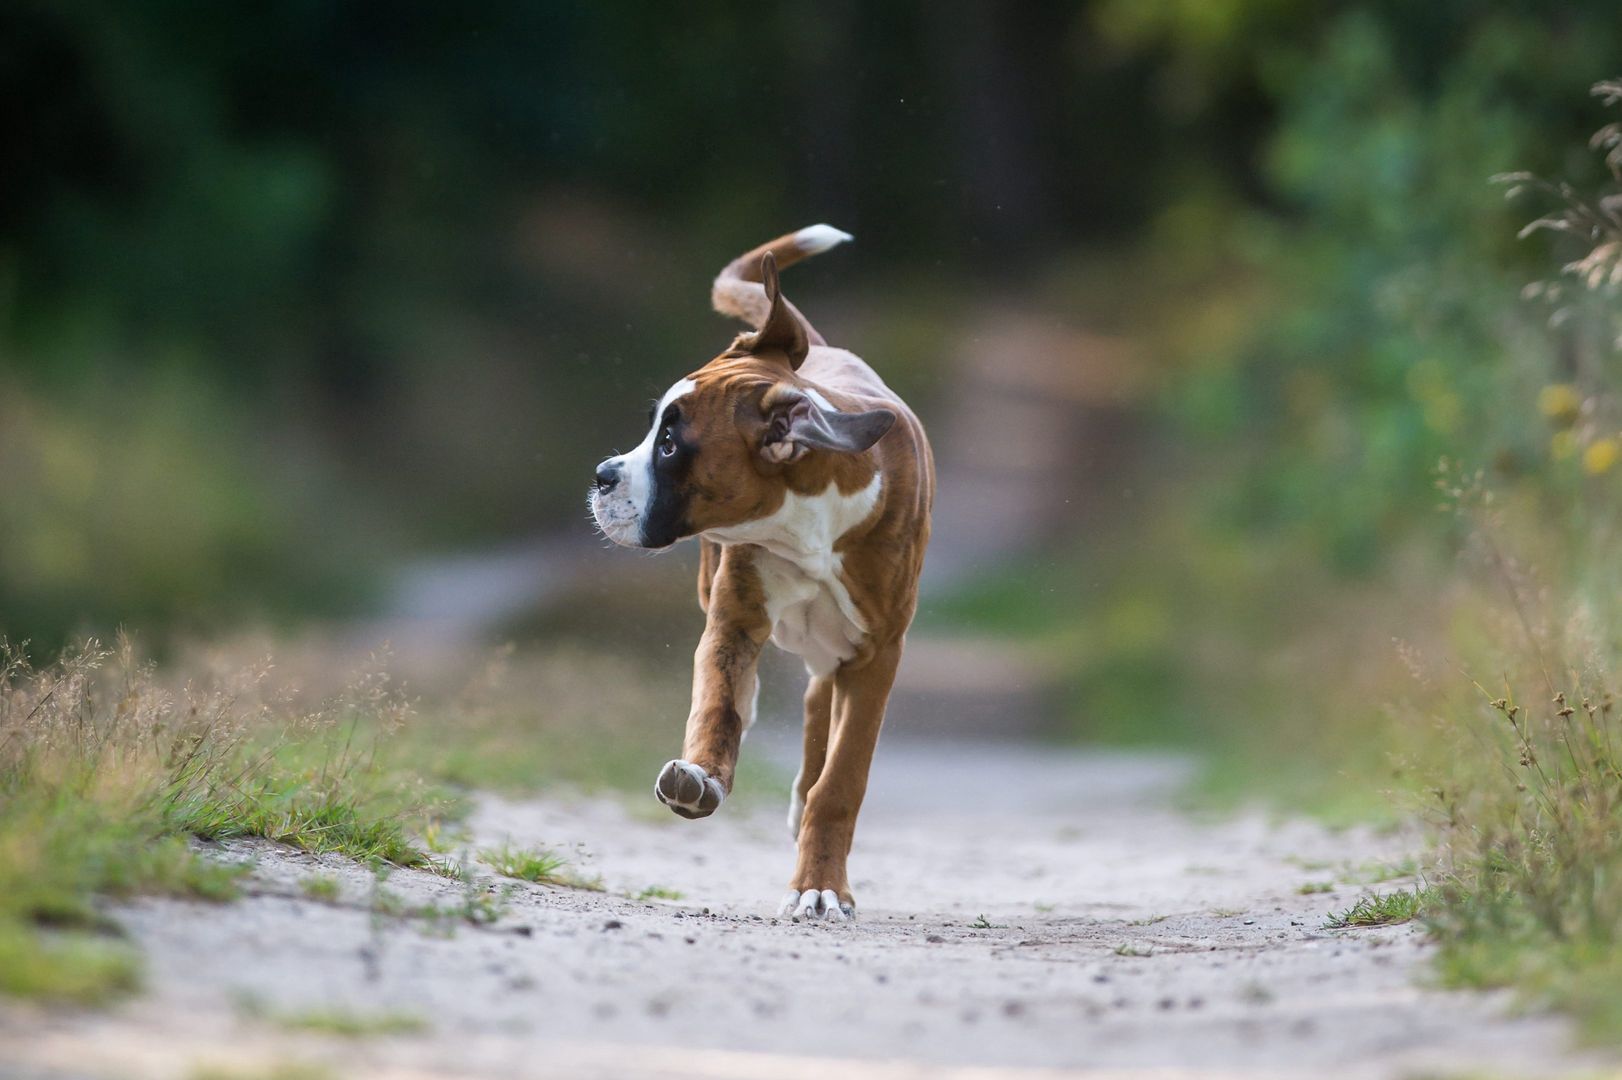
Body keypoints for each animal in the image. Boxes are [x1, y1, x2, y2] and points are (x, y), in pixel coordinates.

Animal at [590, 225, 934, 914]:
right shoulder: (733, 623)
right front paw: (702, 777)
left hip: (846, 650)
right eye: (654, 429)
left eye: (670, 445)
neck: (802, 525)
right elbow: (717, 706)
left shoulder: (879, 657)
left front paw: (821, 885)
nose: (601, 476)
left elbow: (841, 780)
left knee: (821, 708)